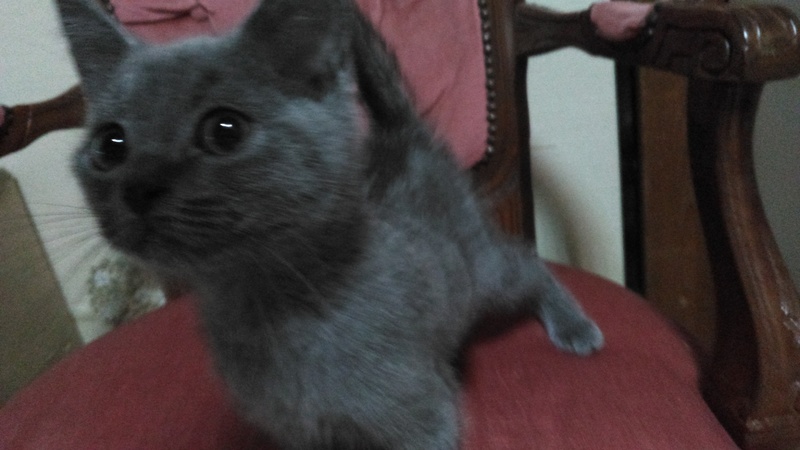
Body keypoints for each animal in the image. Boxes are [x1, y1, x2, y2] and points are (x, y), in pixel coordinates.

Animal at [56, 0, 604, 448]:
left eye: (224, 130)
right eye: (110, 145)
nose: (139, 186)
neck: (269, 311)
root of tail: (401, 137)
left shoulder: (421, 416)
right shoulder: (301, 433)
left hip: (481, 273)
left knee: (526, 262)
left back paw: (574, 325)